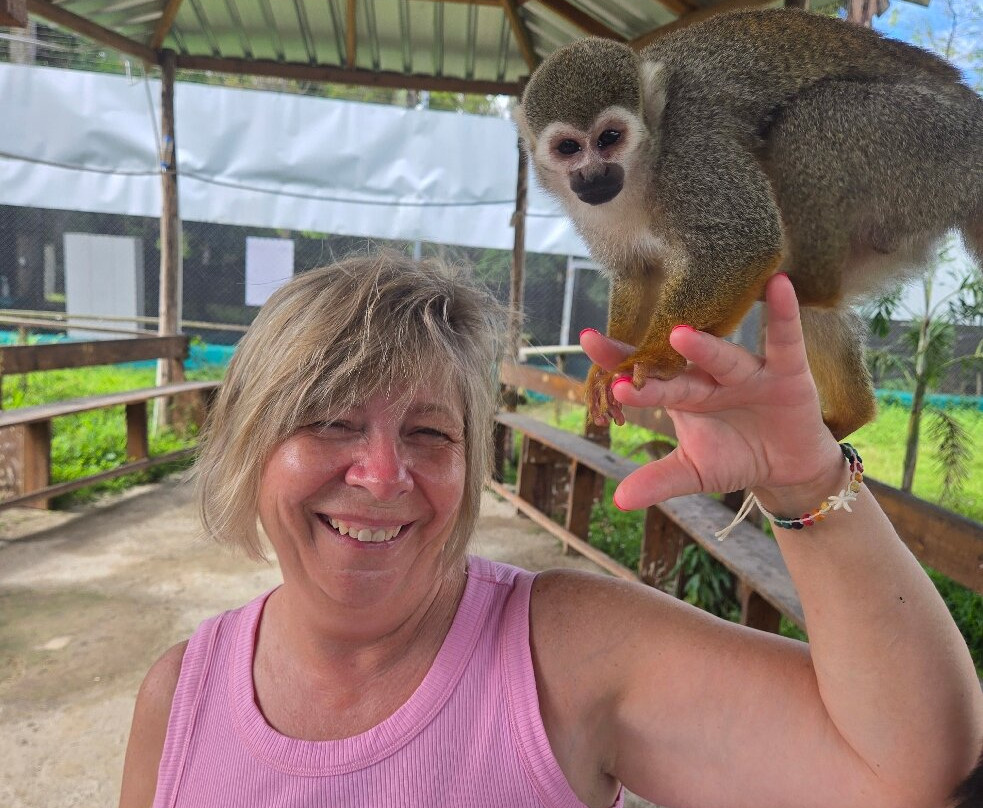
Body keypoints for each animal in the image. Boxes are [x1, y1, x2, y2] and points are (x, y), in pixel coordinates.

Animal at [515, 8, 983, 435]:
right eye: (569, 148)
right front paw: (605, 366)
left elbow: (747, 243)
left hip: (926, 140)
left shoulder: (693, 151)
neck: (644, 165)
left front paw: (656, 356)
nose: (593, 176)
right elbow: (638, 272)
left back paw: (806, 286)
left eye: (609, 138)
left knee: (809, 121)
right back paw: (851, 414)